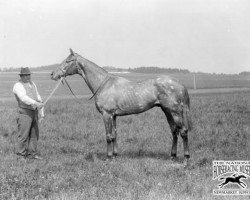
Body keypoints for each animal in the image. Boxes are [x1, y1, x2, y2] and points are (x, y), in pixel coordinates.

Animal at [50, 48, 191, 164]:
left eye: (68, 61)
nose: (52, 74)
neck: (103, 84)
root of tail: (180, 84)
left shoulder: (107, 114)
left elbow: (108, 136)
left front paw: (108, 157)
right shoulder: (114, 116)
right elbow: (114, 135)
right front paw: (115, 156)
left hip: (175, 111)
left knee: (183, 131)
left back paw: (186, 159)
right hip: (167, 111)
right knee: (174, 131)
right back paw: (172, 156)